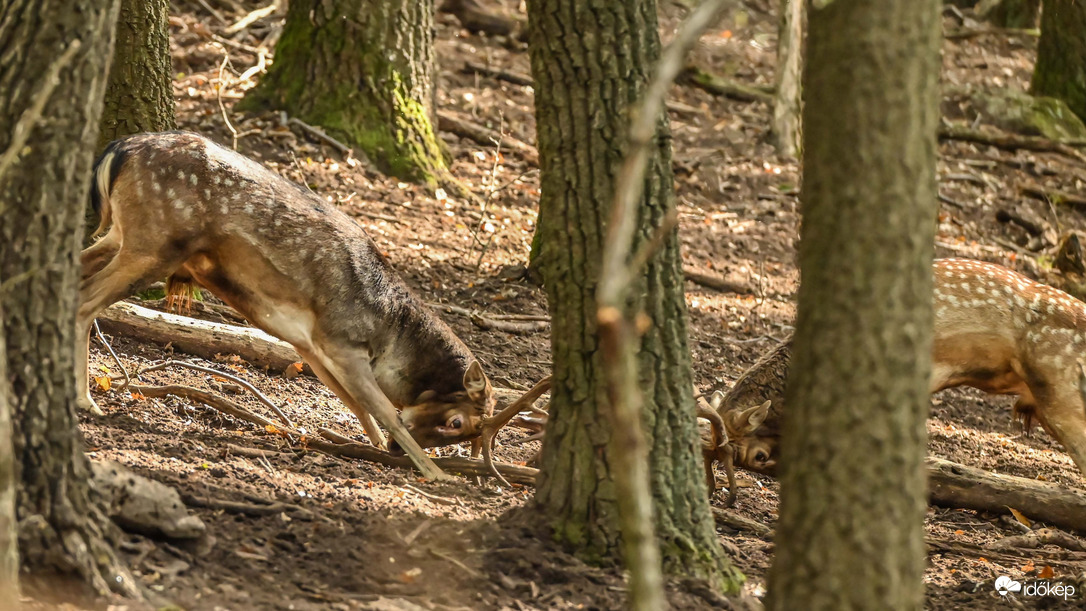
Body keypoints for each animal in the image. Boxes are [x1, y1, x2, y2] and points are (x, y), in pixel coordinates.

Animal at [76, 131, 534, 479]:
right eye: (457, 423)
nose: (396, 452)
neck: (389, 335)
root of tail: (119, 150)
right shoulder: (341, 340)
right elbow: (383, 407)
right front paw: (436, 473)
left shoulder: (309, 344)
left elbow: (353, 401)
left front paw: (367, 442)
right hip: (155, 242)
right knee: (85, 301)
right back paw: (86, 401)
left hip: (122, 236)